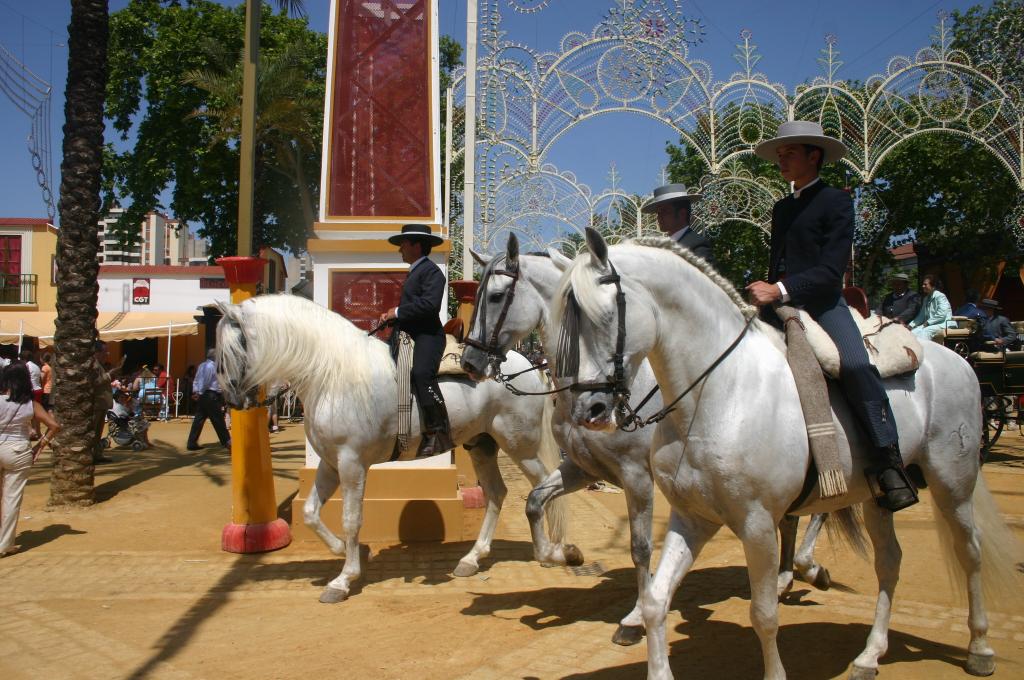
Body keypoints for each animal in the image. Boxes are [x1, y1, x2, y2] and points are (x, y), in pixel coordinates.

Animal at [216, 294, 581, 602]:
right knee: (497, 493)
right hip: (482, 444)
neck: (333, 373)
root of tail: (523, 367)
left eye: (232, 350)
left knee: (542, 487)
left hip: (521, 446)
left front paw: (344, 579)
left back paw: (554, 551)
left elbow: (351, 519)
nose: (231, 400)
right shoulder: (331, 463)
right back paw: (473, 558)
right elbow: (310, 513)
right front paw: (343, 551)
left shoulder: (351, 463)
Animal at [460, 233, 835, 643]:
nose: (469, 364)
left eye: (496, 296)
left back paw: (809, 568)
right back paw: (787, 577)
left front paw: (636, 617)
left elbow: (639, 547)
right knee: (792, 517)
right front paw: (564, 554)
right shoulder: (582, 469)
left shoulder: (635, 475)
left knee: (823, 508)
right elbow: (534, 503)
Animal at [557, 229, 1019, 680]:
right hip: (879, 497)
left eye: (602, 317)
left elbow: (764, 615)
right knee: (890, 561)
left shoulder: (757, 524)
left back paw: (980, 649)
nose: (587, 411)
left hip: (952, 482)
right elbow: (656, 601)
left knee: (970, 552)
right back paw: (869, 656)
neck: (720, 392)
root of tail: (955, 360)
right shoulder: (692, 518)